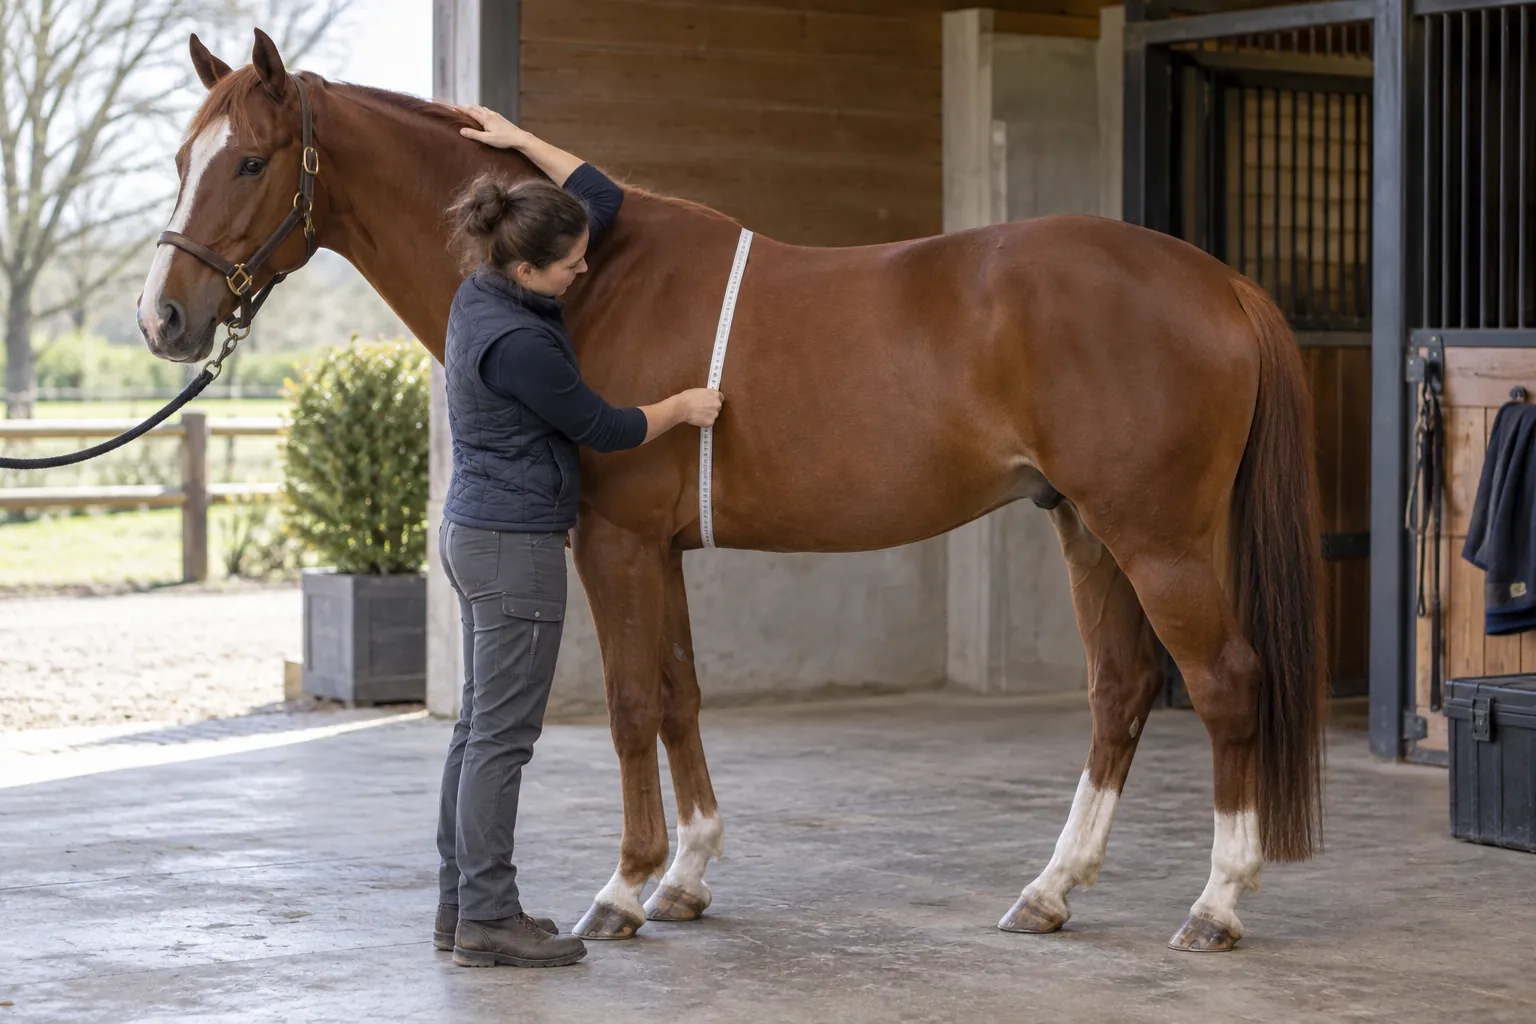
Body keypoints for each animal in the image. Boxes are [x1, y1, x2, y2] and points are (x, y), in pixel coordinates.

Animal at [137, 29, 1327, 953]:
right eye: (183, 157)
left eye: (248, 163)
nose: (165, 318)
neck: (594, 282)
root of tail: (1220, 281)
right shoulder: (657, 547)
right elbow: (679, 691)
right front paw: (688, 876)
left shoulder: (611, 541)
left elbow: (629, 704)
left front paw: (623, 889)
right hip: (1086, 528)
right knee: (1120, 691)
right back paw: (1049, 892)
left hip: (1158, 536)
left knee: (1224, 682)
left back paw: (1217, 904)